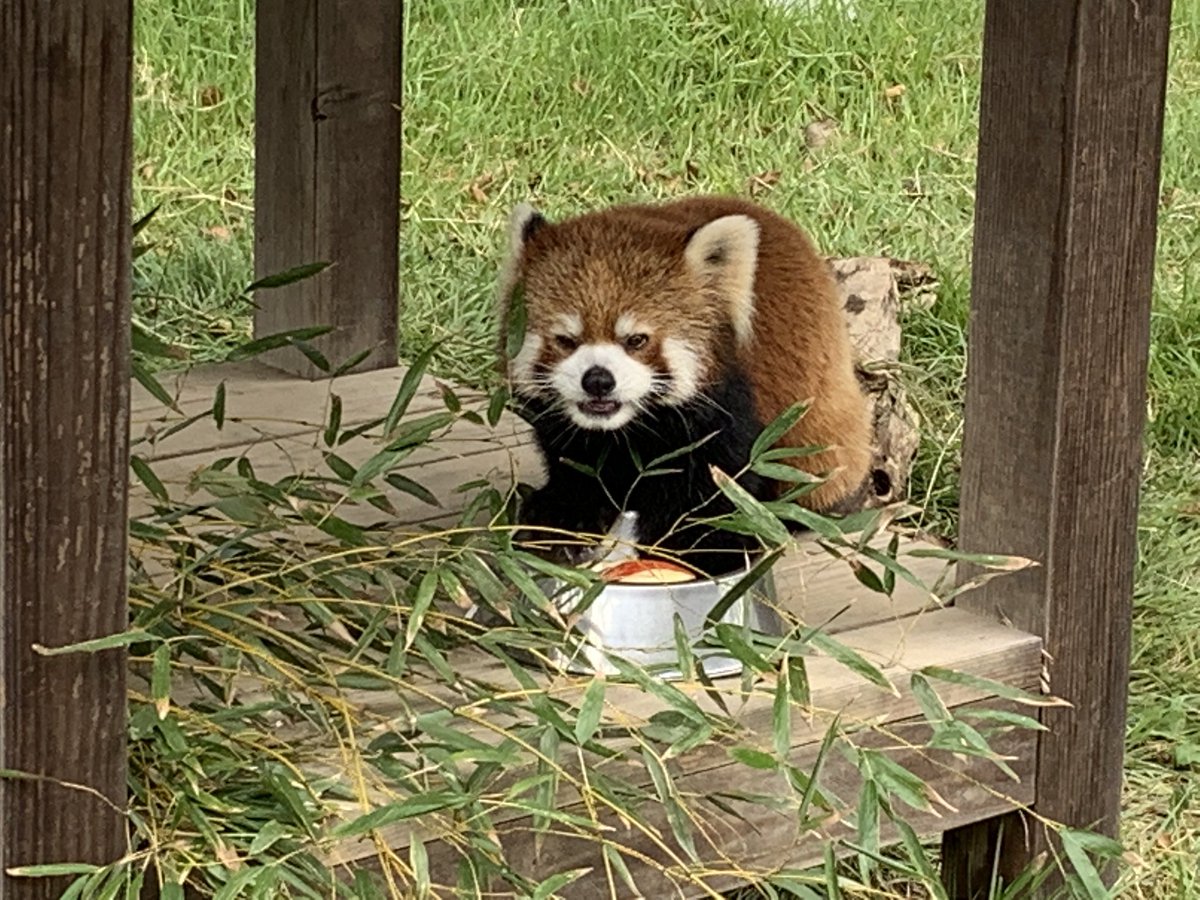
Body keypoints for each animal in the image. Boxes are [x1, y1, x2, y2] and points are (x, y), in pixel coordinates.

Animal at [496, 196, 873, 578]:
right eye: (565, 340)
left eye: (636, 340)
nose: (598, 380)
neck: (628, 431)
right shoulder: (573, 437)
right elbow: (574, 467)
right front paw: (561, 516)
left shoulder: (725, 418)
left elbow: (710, 491)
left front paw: (702, 548)